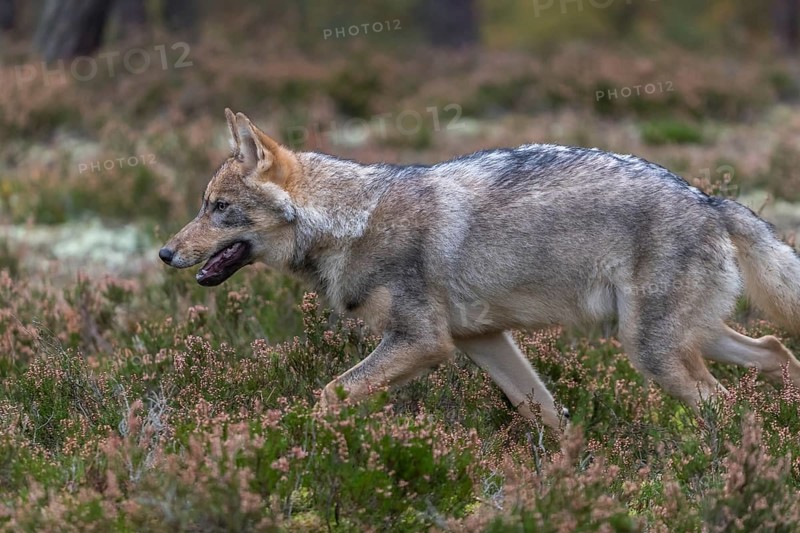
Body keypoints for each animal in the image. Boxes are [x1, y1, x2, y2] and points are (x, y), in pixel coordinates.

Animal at [159, 109, 800, 429]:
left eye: (218, 208)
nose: (165, 254)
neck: (350, 221)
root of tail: (711, 200)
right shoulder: (483, 341)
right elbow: (547, 414)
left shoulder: (423, 343)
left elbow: (328, 395)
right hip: (683, 339)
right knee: (776, 350)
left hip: (654, 353)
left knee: (728, 403)